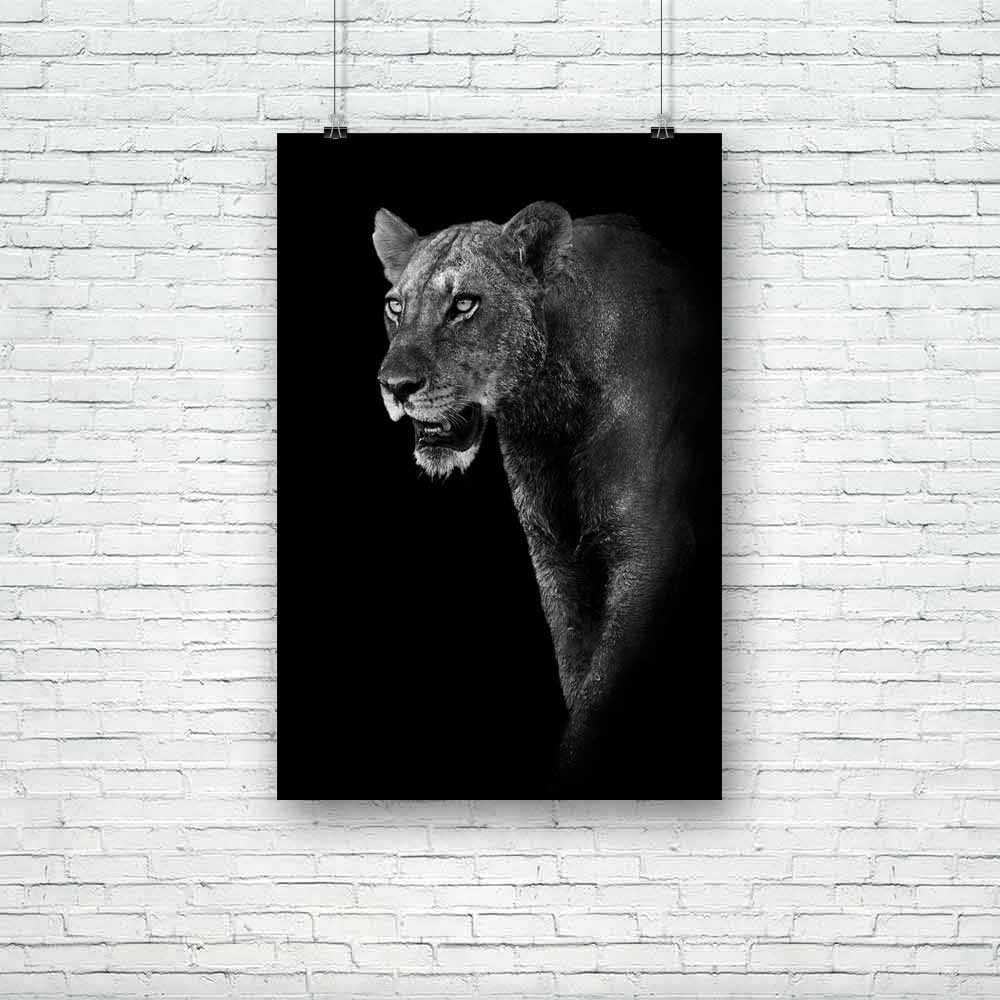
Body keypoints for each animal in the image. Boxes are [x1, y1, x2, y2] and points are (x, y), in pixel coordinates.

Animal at [373, 201, 714, 793]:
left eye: (464, 304)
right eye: (396, 306)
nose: (394, 385)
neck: (548, 411)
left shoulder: (653, 551)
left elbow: (600, 697)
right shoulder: (556, 554)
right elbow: (579, 672)